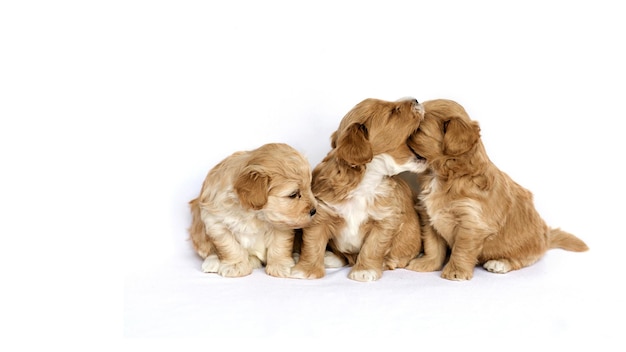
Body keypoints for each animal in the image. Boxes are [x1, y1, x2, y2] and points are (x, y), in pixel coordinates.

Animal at [188, 142, 316, 278]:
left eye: (309, 188)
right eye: (293, 194)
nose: (314, 211)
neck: (255, 215)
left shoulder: (281, 225)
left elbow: (279, 245)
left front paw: (281, 265)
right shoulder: (216, 223)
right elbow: (230, 246)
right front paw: (236, 265)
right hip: (198, 229)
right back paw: (213, 262)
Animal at [288, 97, 426, 282]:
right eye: (394, 111)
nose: (416, 99)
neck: (365, 182)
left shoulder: (385, 220)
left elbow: (372, 247)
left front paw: (365, 270)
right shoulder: (320, 215)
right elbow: (312, 244)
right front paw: (305, 270)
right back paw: (330, 257)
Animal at [404, 99, 584, 280]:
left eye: (418, 128)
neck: (445, 175)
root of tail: (546, 236)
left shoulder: (472, 223)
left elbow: (462, 249)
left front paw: (456, 271)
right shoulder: (429, 216)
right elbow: (433, 245)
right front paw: (427, 264)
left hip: (525, 245)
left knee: (523, 259)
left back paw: (500, 264)